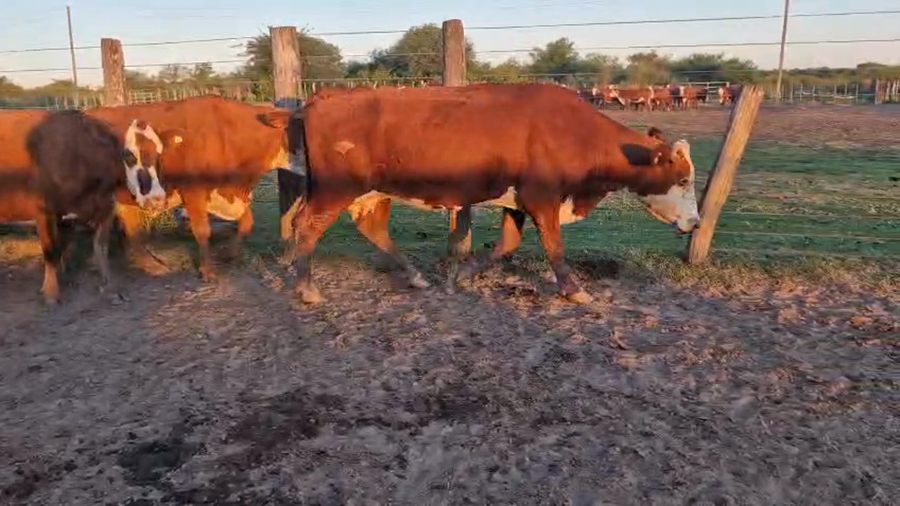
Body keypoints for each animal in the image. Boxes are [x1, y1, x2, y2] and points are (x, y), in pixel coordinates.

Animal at [0, 110, 170, 305]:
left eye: (159, 154)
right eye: (129, 156)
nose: (157, 199)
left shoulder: (104, 206)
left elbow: (99, 247)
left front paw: (110, 286)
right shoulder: (43, 209)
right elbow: (51, 250)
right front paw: (51, 292)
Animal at [266, 83, 700, 305]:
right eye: (682, 180)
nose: (695, 222)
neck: (572, 130)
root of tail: (319, 99)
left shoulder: (518, 201)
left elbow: (508, 245)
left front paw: (461, 275)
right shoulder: (542, 197)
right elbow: (554, 248)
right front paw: (574, 289)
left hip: (372, 192)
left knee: (372, 229)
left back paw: (416, 277)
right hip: (335, 189)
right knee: (308, 226)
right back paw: (306, 287)